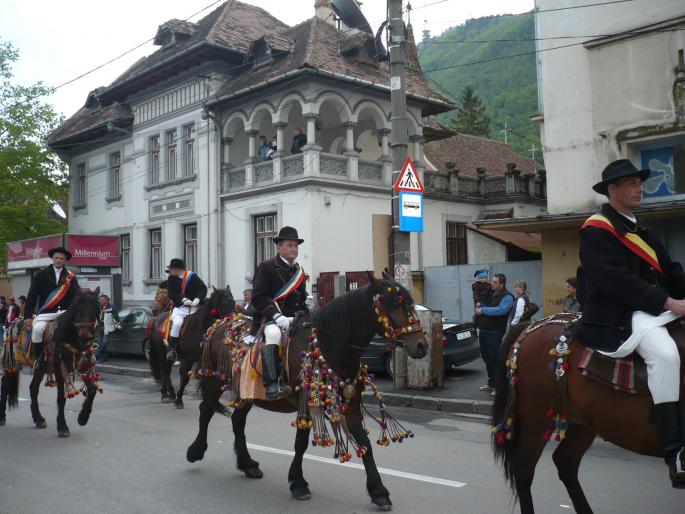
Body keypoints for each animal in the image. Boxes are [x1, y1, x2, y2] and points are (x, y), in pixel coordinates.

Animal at [0, 286, 101, 434]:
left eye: (96, 310)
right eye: (78, 310)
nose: (84, 338)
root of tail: (13, 323)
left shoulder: (83, 368)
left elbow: (92, 390)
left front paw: (83, 418)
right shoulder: (60, 371)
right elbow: (61, 399)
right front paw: (63, 427)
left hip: (39, 369)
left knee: (33, 388)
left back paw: (38, 419)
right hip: (12, 364)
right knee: (5, 385)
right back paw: (2, 417)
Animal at [187, 272, 428, 508]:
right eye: (393, 304)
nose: (421, 345)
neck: (328, 346)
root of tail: (222, 323)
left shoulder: (350, 404)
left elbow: (364, 443)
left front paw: (378, 491)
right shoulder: (307, 401)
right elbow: (301, 443)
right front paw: (298, 483)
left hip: (247, 391)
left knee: (237, 421)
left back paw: (248, 465)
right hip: (214, 381)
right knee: (205, 411)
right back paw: (195, 451)